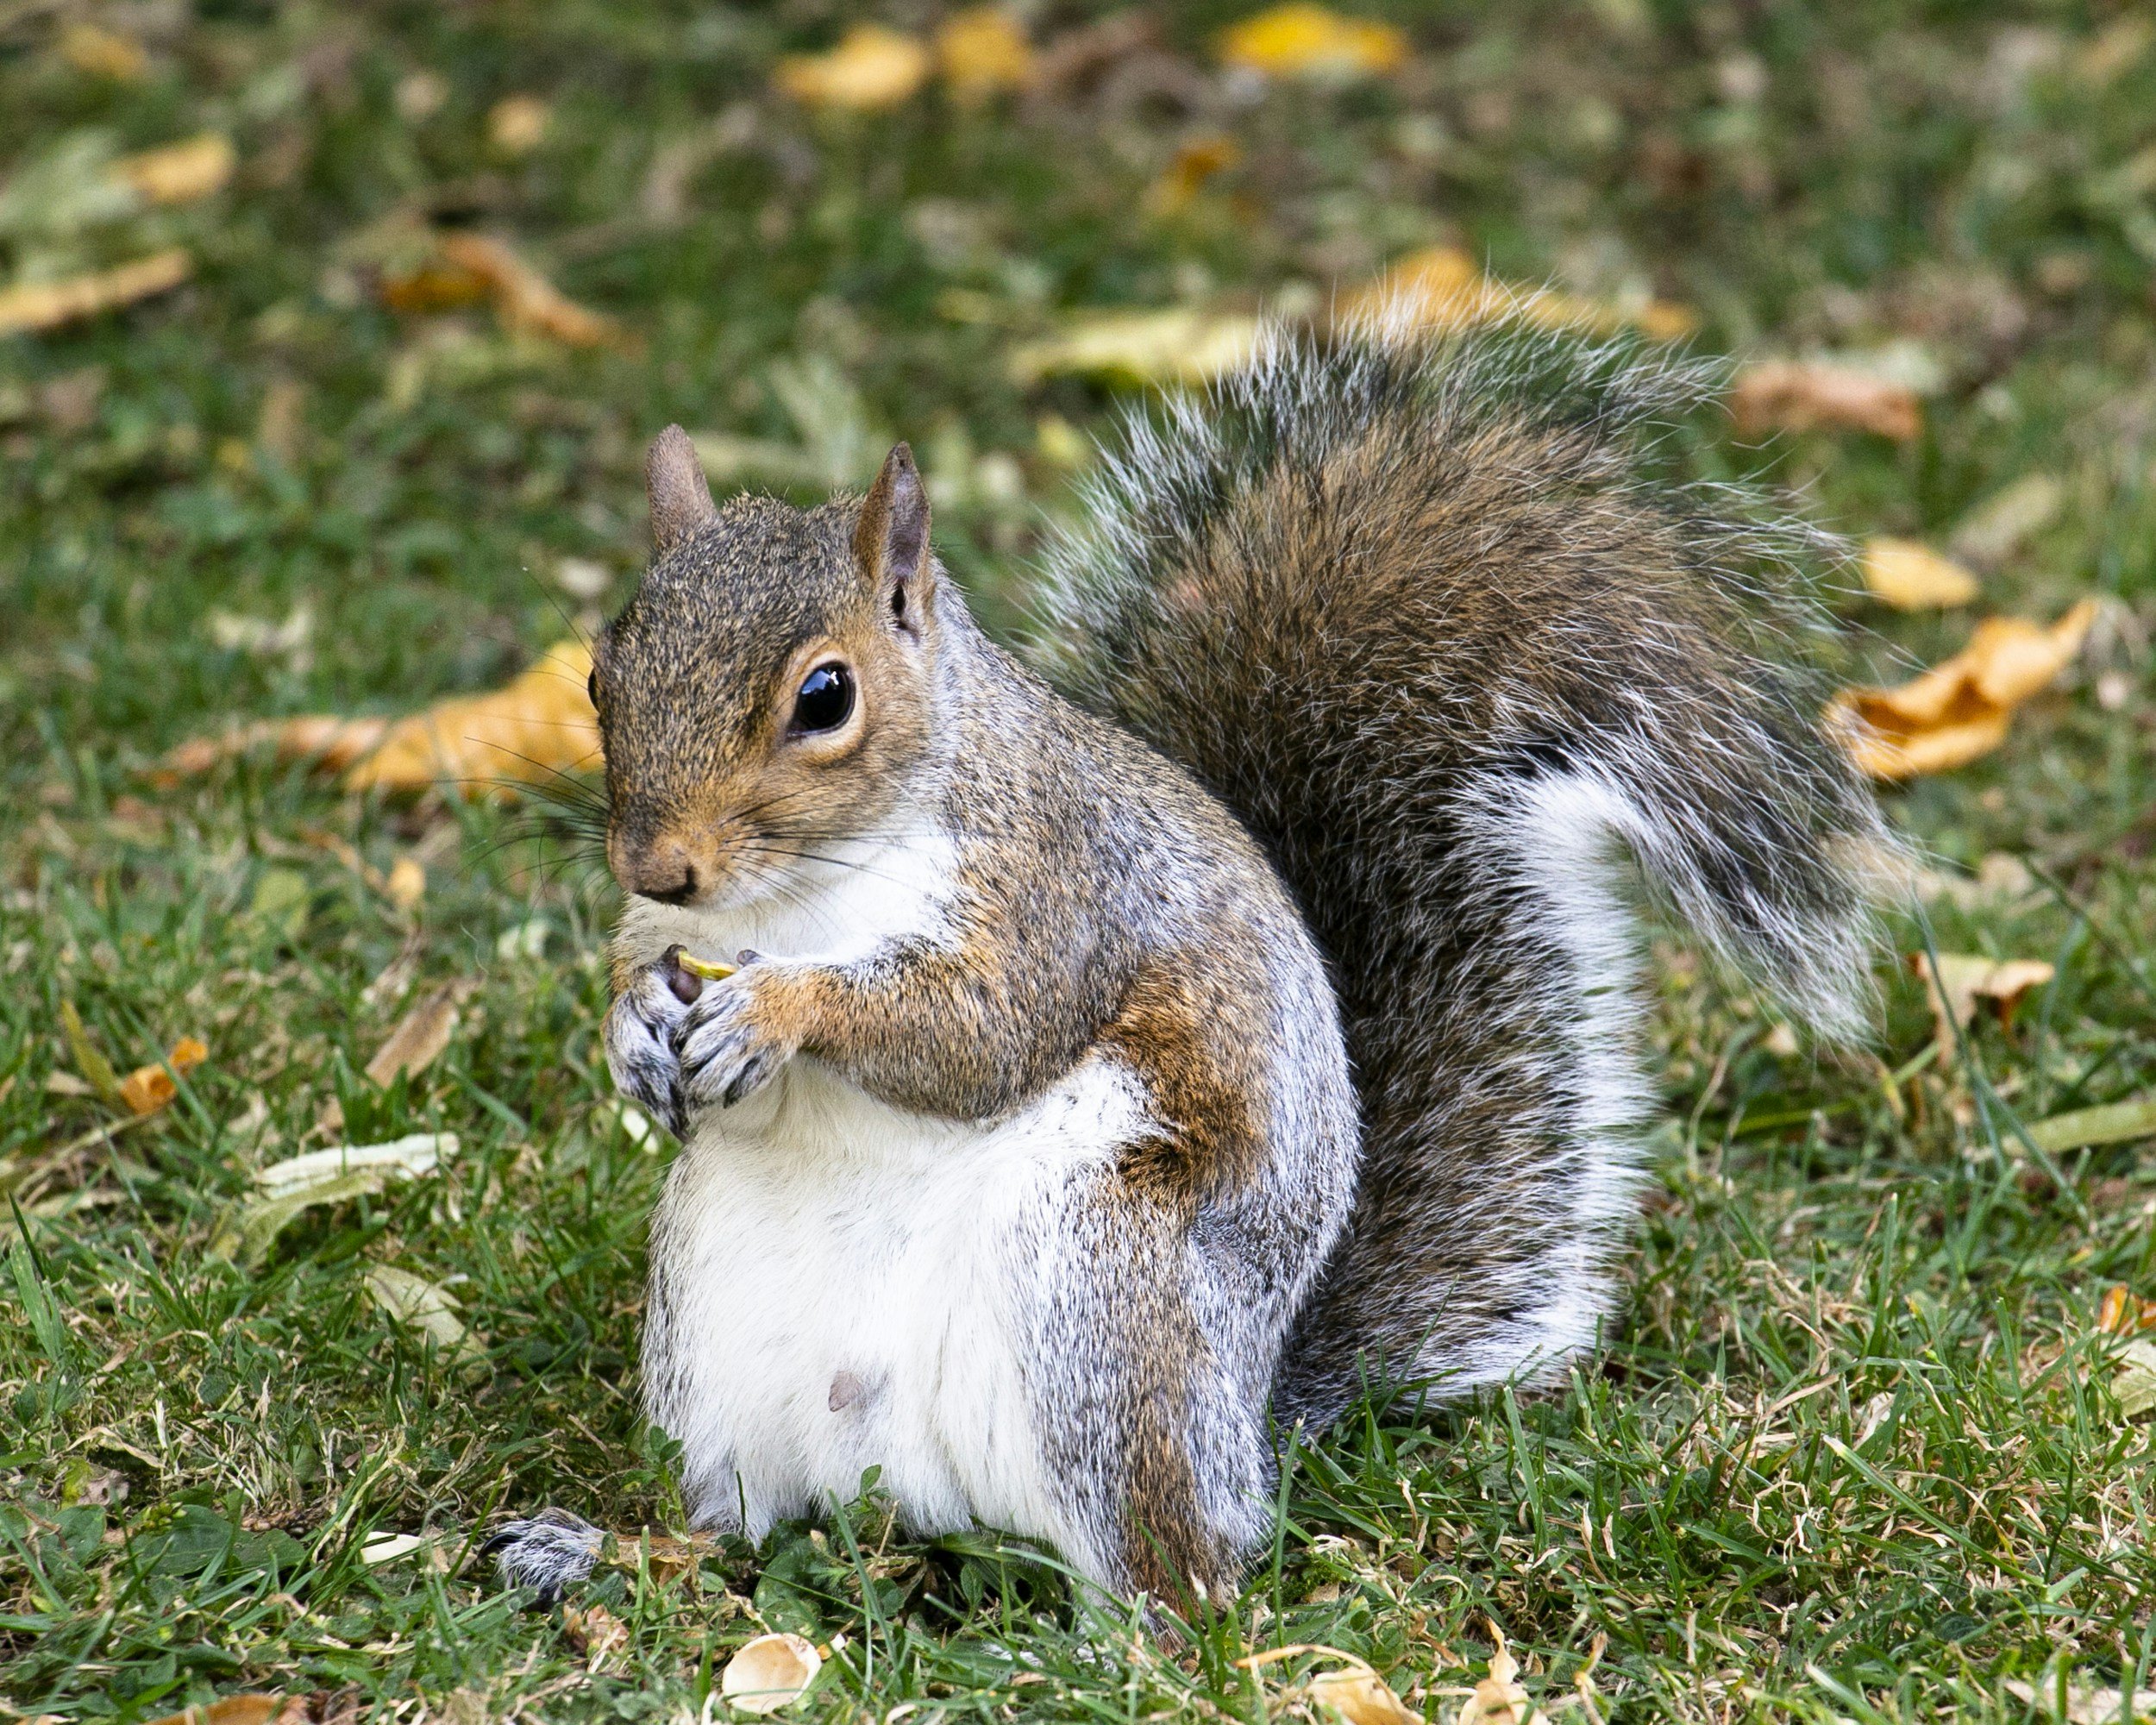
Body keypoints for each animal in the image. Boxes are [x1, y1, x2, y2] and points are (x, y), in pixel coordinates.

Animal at [487, 317, 1890, 1610]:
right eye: (601, 677)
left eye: (825, 697)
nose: (657, 864)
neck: (792, 896)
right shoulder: (672, 931)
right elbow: (649, 975)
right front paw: (631, 1030)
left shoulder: (1059, 892)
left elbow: (978, 1032)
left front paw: (779, 1009)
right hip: (716, 1336)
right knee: (739, 1528)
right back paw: (599, 1548)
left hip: (1106, 1295)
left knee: (1182, 1573)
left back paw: (1120, 1634)